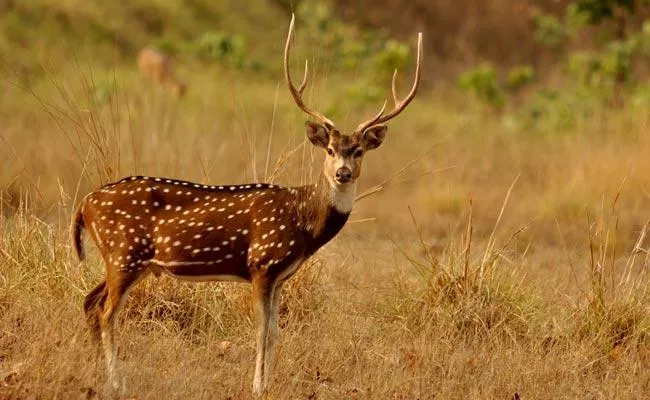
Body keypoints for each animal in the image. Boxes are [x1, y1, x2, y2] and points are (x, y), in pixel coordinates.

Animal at [73, 14, 422, 396]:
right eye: (330, 150)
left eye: (358, 151)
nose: (342, 173)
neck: (302, 221)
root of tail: (85, 205)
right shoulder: (262, 264)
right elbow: (261, 331)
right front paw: (257, 386)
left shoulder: (281, 276)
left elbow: (275, 332)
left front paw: (269, 382)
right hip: (124, 253)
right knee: (106, 312)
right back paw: (116, 382)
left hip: (125, 260)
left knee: (90, 302)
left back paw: (96, 373)